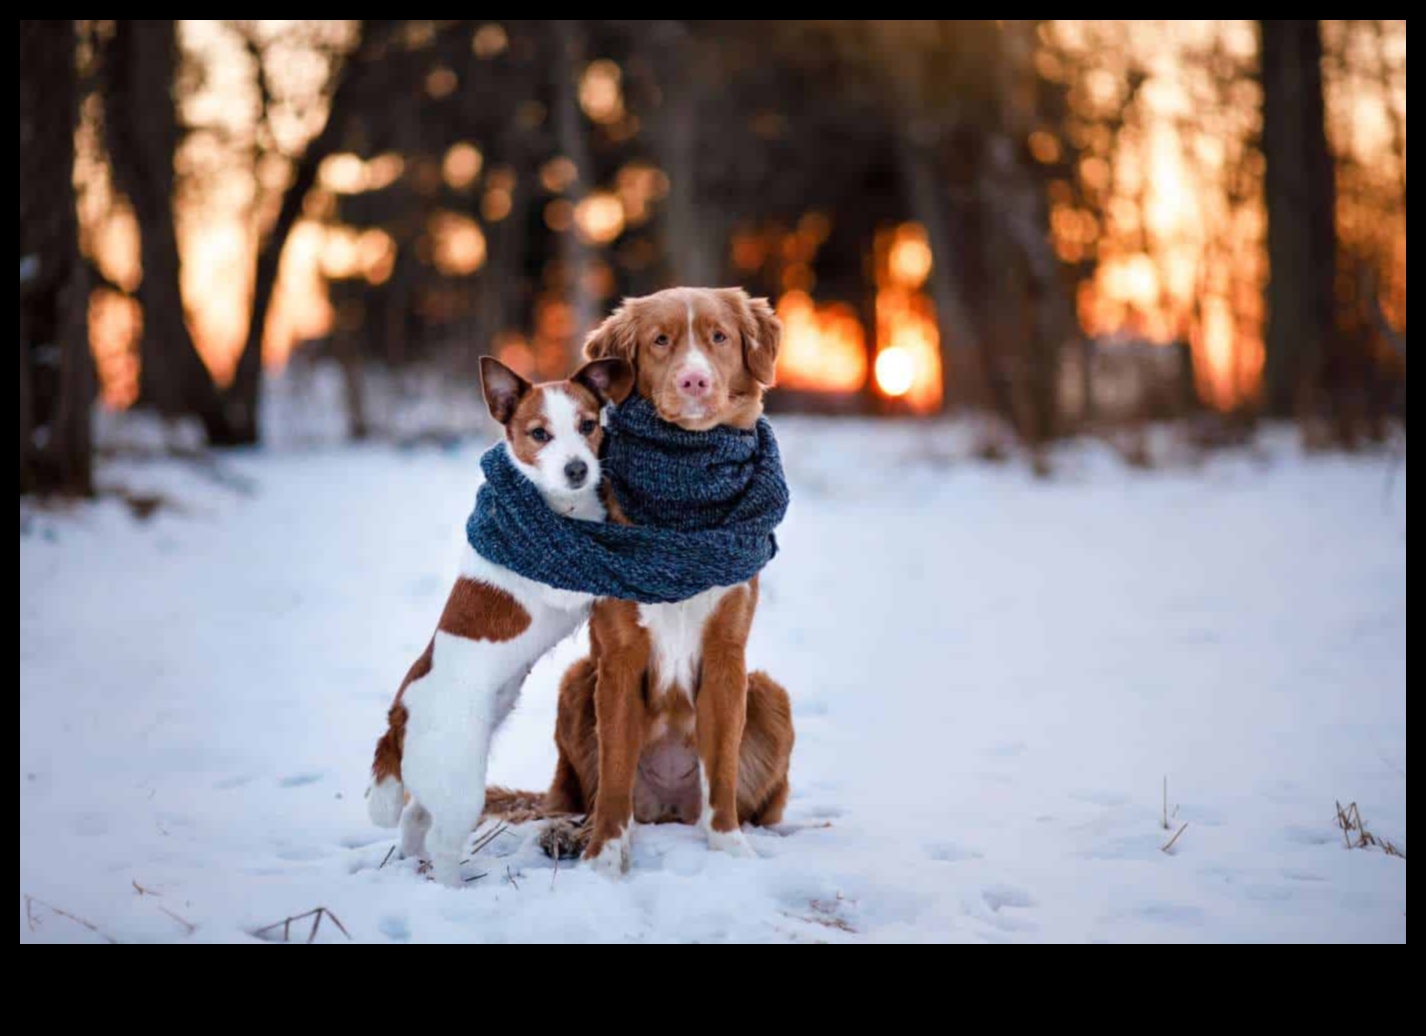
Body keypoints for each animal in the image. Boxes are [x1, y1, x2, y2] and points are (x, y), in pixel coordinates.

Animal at [544, 289, 798, 877]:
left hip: (769, 693)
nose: (694, 381)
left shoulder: (728, 655)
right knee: (589, 795)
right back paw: (573, 833)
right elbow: (614, 775)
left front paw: (729, 848)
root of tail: (666, 809)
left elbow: (722, 769)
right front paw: (604, 858)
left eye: (719, 337)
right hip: (577, 682)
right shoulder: (618, 660)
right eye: (661, 341)